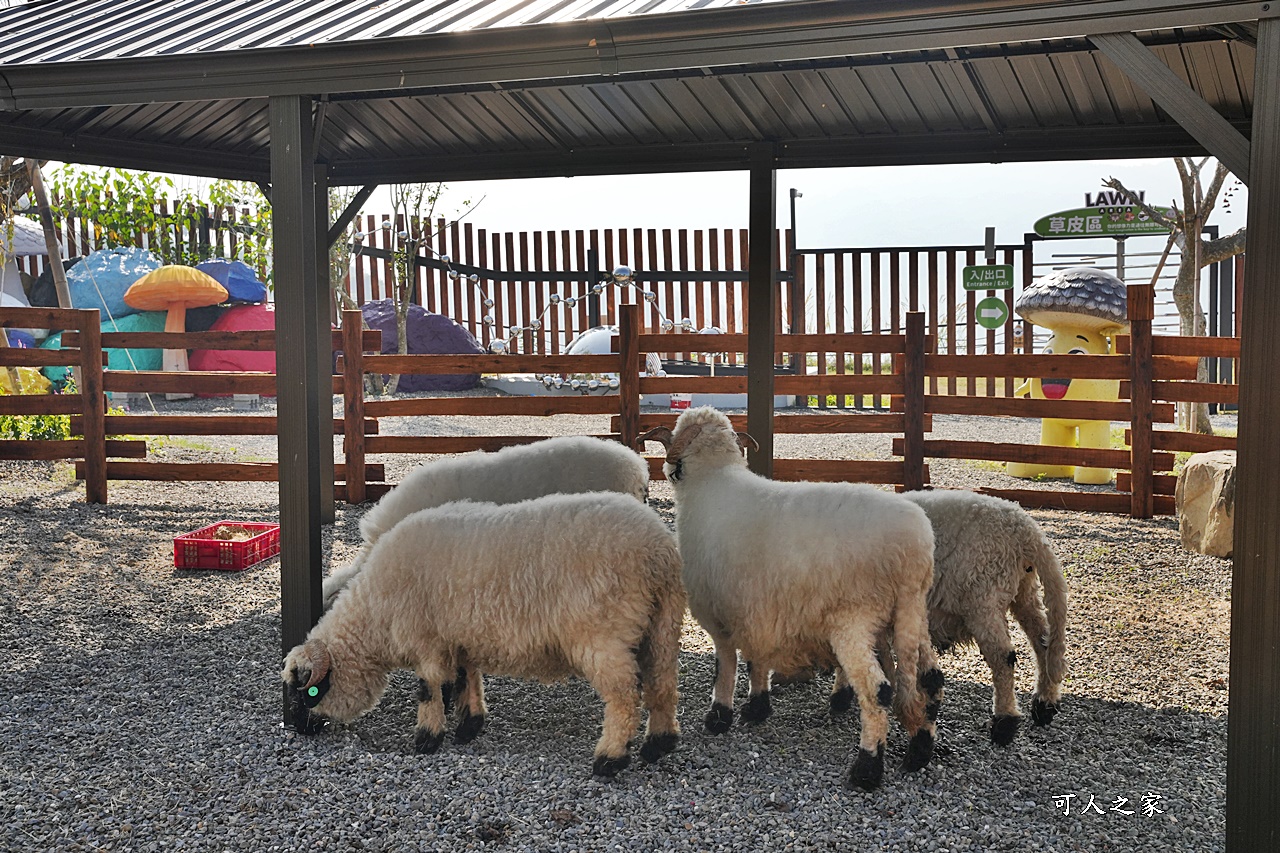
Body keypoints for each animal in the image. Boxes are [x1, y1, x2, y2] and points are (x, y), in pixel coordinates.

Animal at [279, 491, 680, 778]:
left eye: (310, 690)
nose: (295, 728)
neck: (375, 614)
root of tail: (658, 549)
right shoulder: (458, 639)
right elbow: (465, 681)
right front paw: (468, 726)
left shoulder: (427, 641)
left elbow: (429, 689)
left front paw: (426, 739)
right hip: (661, 625)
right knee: (662, 685)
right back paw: (658, 745)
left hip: (604, 634)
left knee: (624, 697)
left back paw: (610, 758)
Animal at [637, 404, 942, 788]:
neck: (712, 483)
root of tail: (914, 550)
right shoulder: (757, 608)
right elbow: (756, 660)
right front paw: (757, 707)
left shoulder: (719, 613)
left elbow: (725, 665)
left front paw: (718, 717)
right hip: (911, 615)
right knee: (930, 679)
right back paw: (920, 751)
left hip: (854, 619)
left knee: (878, 691)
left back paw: (867, 769)